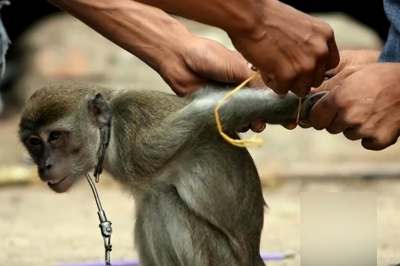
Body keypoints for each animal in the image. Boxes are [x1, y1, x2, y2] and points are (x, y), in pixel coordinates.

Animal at [18, 82, 324, 266]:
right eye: (34, 142)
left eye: (55, 136)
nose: (44, 166)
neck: (109, 135)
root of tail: (254, 257)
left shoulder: (139, 143)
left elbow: (209, 109)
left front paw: (297, 104)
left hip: (220, 259)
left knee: (161, 201)